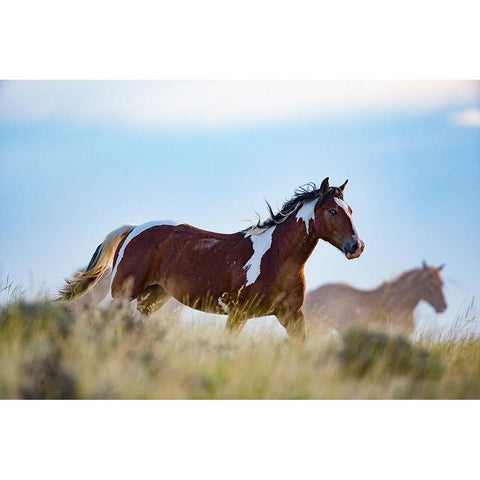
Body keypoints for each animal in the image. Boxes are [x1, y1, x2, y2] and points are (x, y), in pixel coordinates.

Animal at [58, 177, 364, 342]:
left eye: (350, 209)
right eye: (333, 211)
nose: (356, 246)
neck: (275, 257)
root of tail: (134, 229)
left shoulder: (292, 315)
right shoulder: (238, 315)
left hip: (152, 297)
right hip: (123, 291)